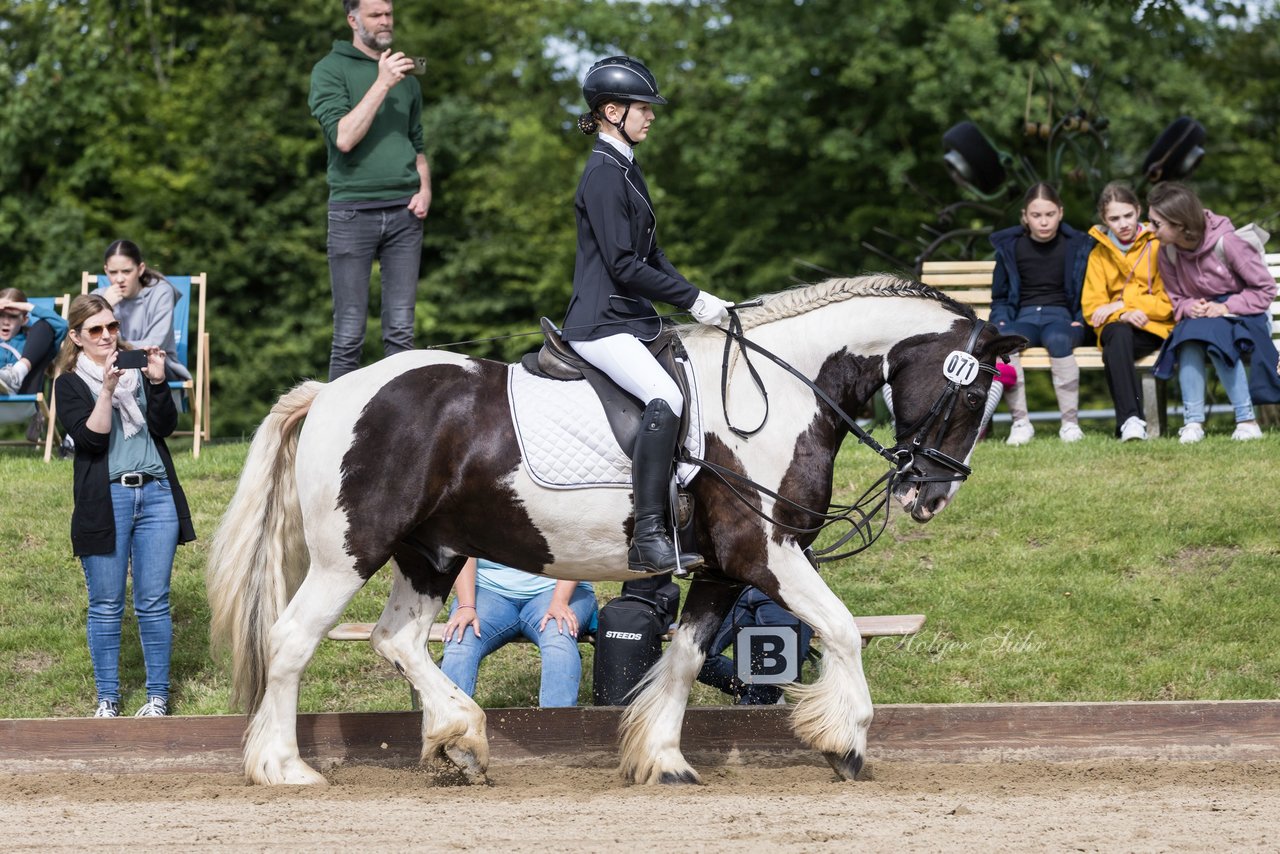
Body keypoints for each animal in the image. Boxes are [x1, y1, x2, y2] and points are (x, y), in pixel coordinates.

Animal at [212, 277, 1018, 783]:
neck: (781, 394)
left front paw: (662, 758)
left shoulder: (722, 568)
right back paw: (284, 768)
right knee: (291, 640)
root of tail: (331, 392)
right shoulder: (768, 553)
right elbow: (844, 630)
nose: (929, 496)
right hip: (348, 553)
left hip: (429, 553)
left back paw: (459, 740)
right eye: (973, 391)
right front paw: (845, 742)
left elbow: (686, 660)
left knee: (398, 640)